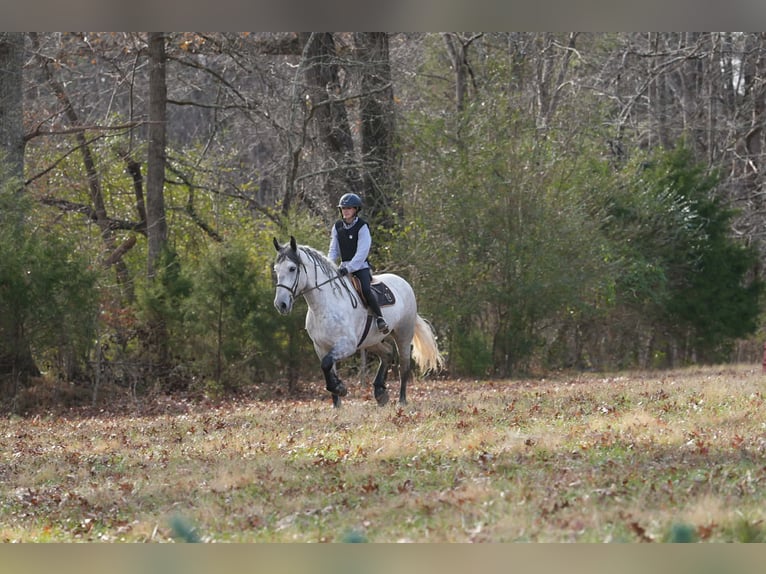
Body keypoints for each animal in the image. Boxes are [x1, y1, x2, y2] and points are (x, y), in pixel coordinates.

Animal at [272, 236, 443, 408]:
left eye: (292, 268)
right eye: (276, 269)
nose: (281, 304)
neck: (325, 306)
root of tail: (403, 282)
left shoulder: (347, 345)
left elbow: (326, 364)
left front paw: (340, 388)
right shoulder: (321, 347)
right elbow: (327, 368)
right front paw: (337, 403)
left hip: (403, 334)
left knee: (404, 366)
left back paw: (401, 401)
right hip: (371, 340)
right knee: (387, 353)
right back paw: (380, 393)